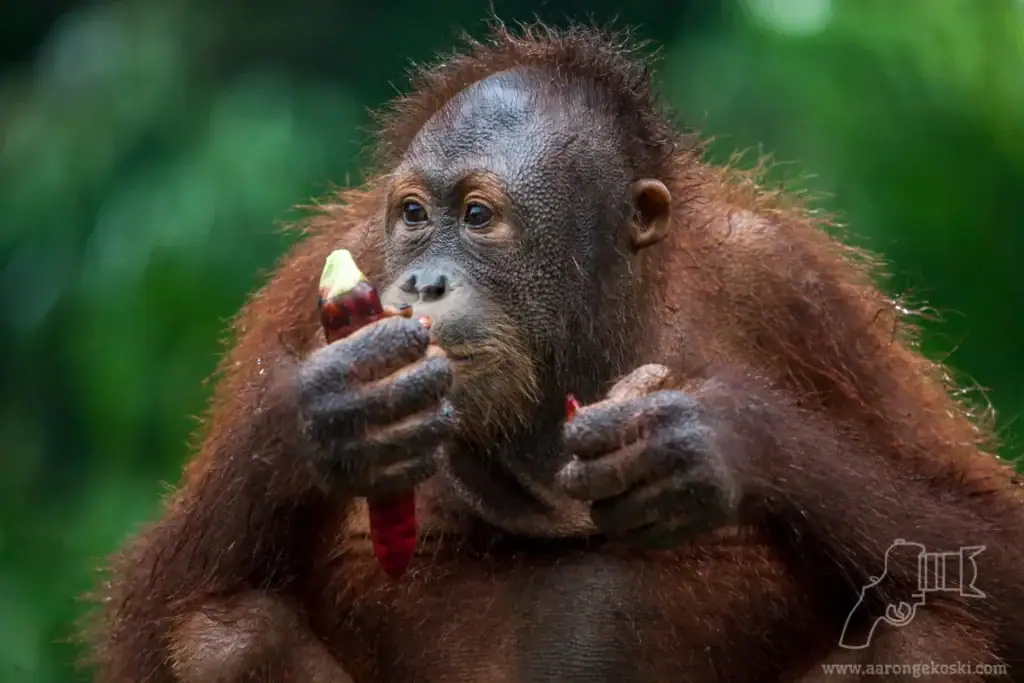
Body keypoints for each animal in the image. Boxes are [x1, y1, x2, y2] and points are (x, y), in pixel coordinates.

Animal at [80, 22, 1024, 683]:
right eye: (414, 213)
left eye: (478, 216)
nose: (419, 283)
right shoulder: (300, 294)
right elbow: (157, 609)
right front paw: (332, 415)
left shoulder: (800, 291)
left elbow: (989, 545)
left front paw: (711, 440)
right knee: (225, 636)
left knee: (928, 643)